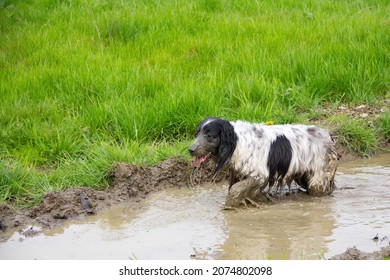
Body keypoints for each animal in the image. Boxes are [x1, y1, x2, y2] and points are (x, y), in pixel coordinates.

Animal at [188, 117, 338, 207]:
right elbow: (234, 188)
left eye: (209, 135)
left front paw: (229, 206)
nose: (190, 149)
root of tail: (329, 137)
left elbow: (235, 190)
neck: (237, 142)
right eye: (196, 134)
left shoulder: (260, 175)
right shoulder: (238, 173)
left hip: (318, 179)